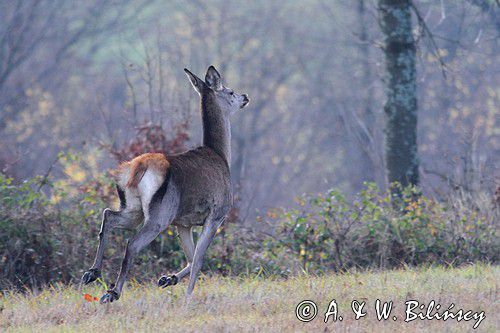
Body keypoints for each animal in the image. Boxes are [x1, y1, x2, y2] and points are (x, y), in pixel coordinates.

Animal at [81, 66, 250, 302]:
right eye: (230, 92)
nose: (245, 97)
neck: (221, 156)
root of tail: (138, 168)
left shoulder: (183, 222)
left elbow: (190, 257)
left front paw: (167, 279)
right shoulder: (216, 215)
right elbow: (199, 260)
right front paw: (188, 298)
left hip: (133, 208)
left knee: (109, 215)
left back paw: (91, 273)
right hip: (160, 214)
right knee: (132, 243)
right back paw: (112, 292)